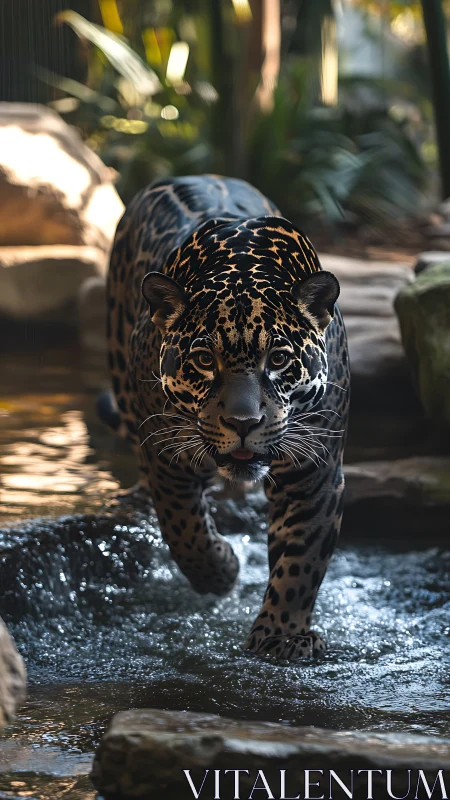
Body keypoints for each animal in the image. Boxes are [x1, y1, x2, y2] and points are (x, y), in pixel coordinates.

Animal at [105, 174, 350, 661]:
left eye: (279, 359)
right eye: (203, 360)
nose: (243, 422)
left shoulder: (313, 470)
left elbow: (301, 559)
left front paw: (281, 634)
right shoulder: (166, 456)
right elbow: (184, 530)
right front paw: (221, 570)